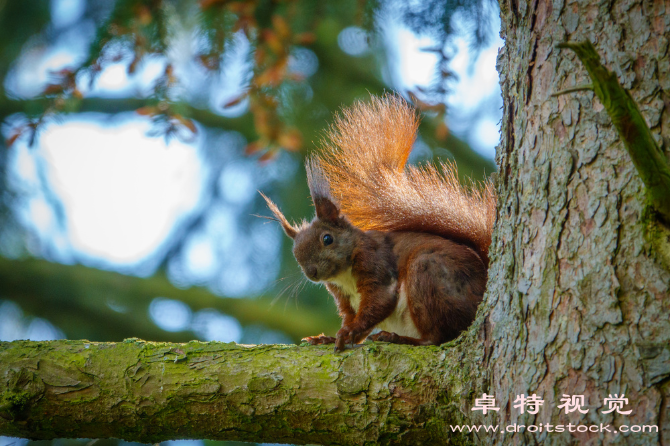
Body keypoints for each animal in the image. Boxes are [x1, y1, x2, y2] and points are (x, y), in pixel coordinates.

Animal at [262, 95, 498, 352]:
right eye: (295, 254)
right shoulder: (344, 299)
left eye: (327, 238)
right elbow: (352, 318)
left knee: (438, 337)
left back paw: (401, 338)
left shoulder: (376, 264)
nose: (312, 273)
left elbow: (379, 302)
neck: (343, 275)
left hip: (429, 274)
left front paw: (348, 333)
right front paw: (330, 337)